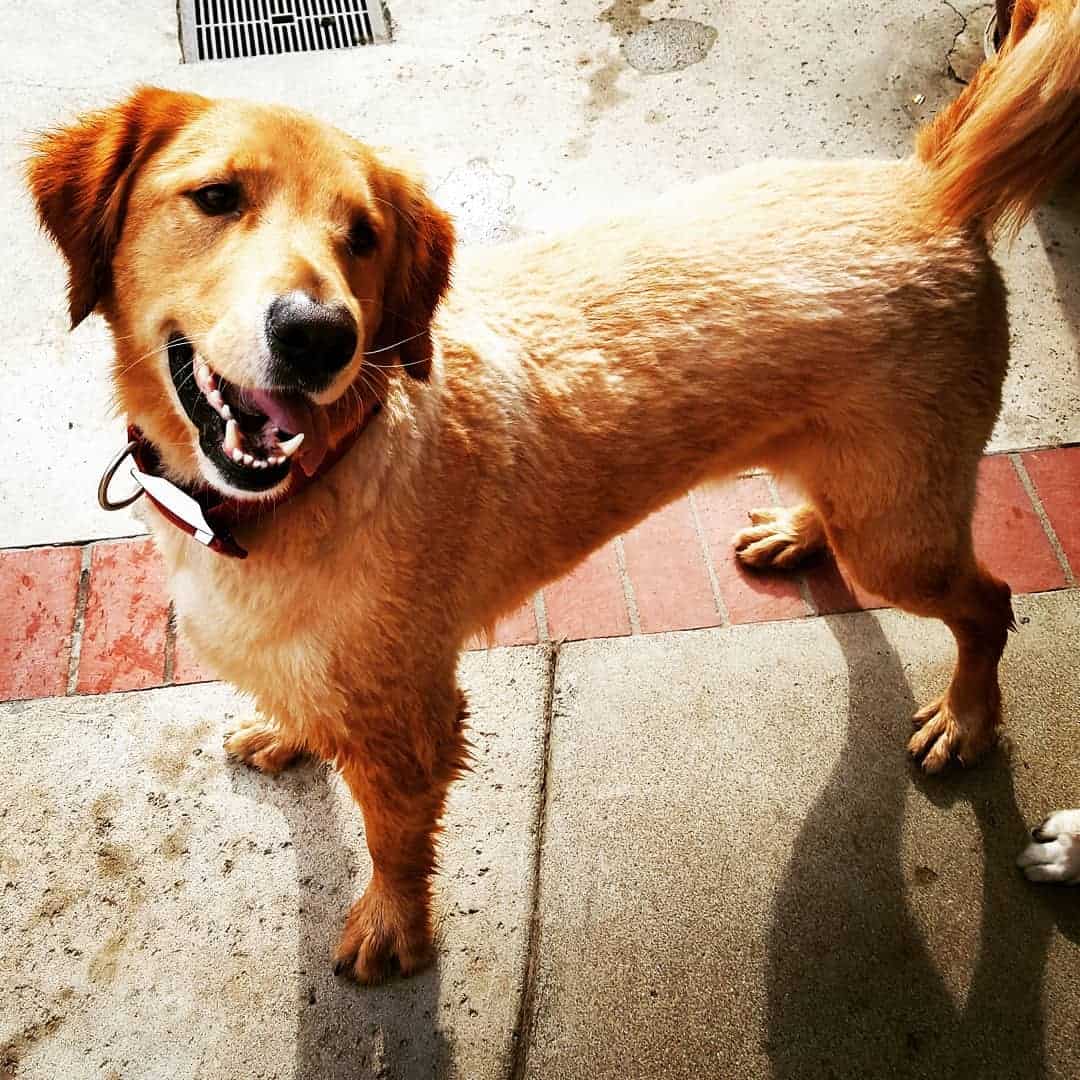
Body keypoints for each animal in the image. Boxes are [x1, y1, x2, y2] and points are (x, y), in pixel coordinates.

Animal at [25, 0, 1080, 980]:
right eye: (215, 197)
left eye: (362, 237)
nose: (319, 336)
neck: (317, 476)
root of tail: (933, 187)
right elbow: (302, 708)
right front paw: (287, 734)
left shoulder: (413, 727)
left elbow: (393, 843)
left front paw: (393, 927)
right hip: (861, 483)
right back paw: (797, 530)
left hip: (901, 536)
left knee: (990, 603)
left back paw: (968, 718)